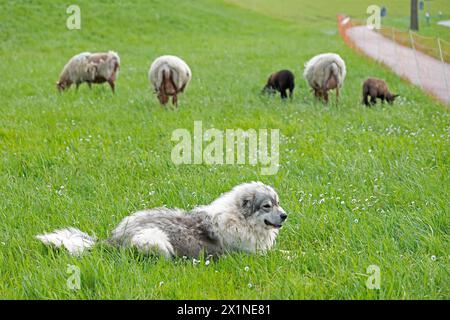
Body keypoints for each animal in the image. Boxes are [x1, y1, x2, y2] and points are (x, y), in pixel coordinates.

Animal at [37, 181, 286, 258]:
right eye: (267, 206)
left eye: (278, 202)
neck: (241, 219)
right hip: (156, 241)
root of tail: (113, 239)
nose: (285, 215)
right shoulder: (252, 254)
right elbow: (282, 255)